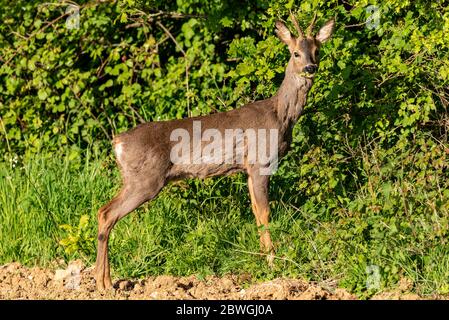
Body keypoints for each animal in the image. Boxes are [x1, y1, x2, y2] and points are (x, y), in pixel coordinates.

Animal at [95, 11, 332, 290]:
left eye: (317, 50)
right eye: (295, 53)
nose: (310, 68)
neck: (281, 115)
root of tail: (117, 142)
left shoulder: (247, 168)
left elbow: (255, 212)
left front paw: (263, 260)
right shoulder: (261, 161)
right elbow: (265, 213)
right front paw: (274, 265)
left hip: (134, 180)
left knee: (102, 212)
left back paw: (104, 280)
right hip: (145, 180)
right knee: (107, 214)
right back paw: (103, 283)